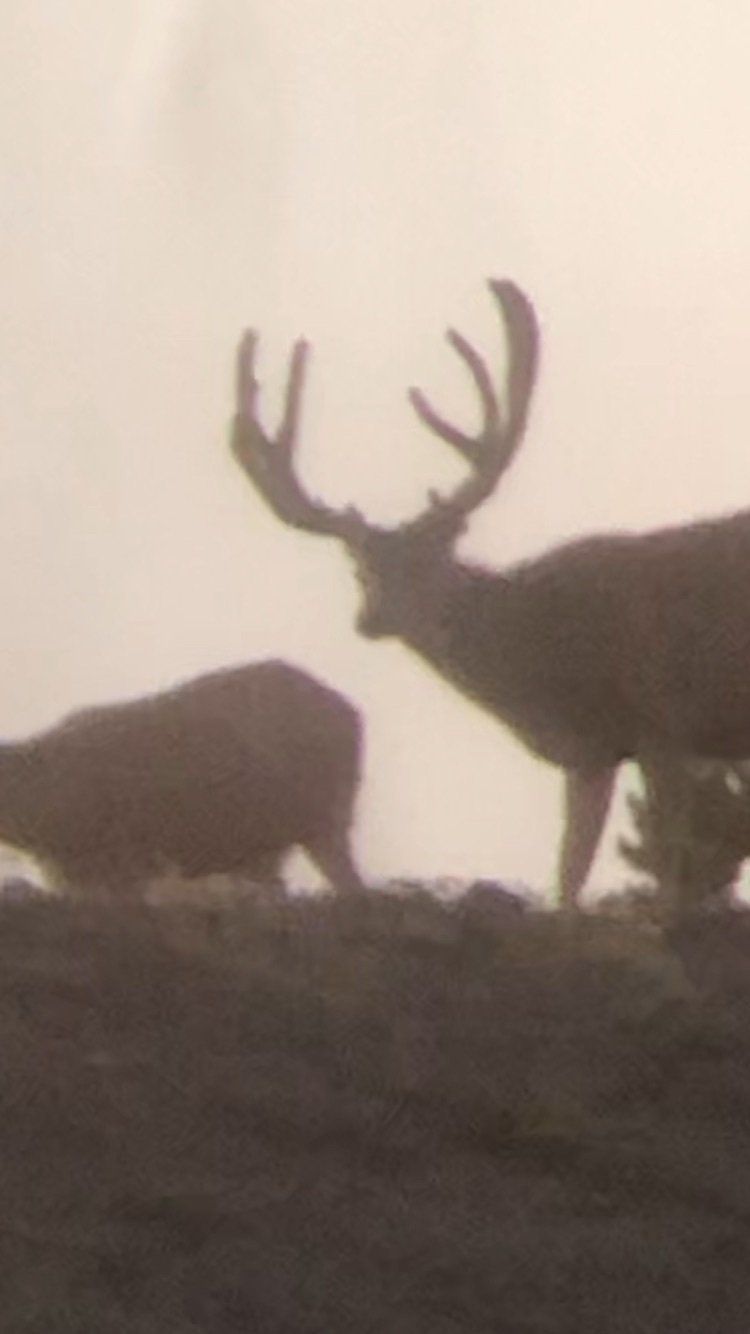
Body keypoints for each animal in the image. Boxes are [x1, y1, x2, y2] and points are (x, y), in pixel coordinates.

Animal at [229, 278, 750, 910]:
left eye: (431, 555)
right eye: (358, 568)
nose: (370, 618)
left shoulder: (662, 721)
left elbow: (671, 870)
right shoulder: (591, 754)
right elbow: (568, 876)